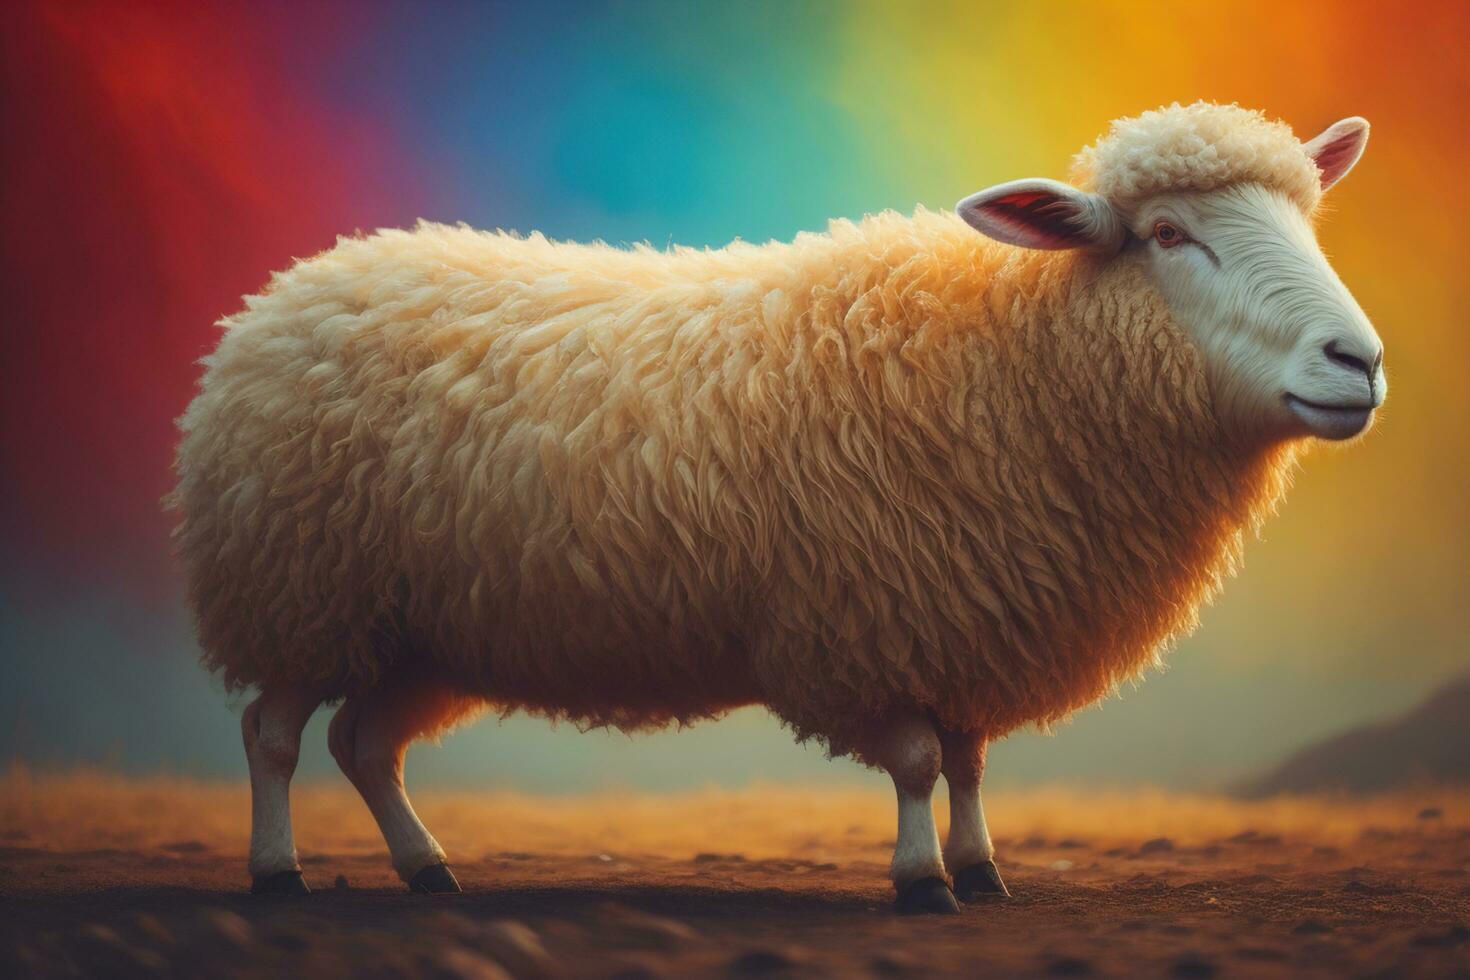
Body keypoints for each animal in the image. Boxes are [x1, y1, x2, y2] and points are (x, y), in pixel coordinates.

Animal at [170, 102, 1384, 913]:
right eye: (1169, 234)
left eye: (1310, 220)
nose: (1359, 362)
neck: (1011, 356)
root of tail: (286, 291)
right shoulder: (866, 617)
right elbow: (915, 762)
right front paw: (919, 879)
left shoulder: (963, 612)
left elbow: (967, 761)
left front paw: (982, 868)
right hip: (302, 589)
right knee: (273, 733)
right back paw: (278, 873)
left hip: (422, 627)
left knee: (365, 743)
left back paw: (428, 868)